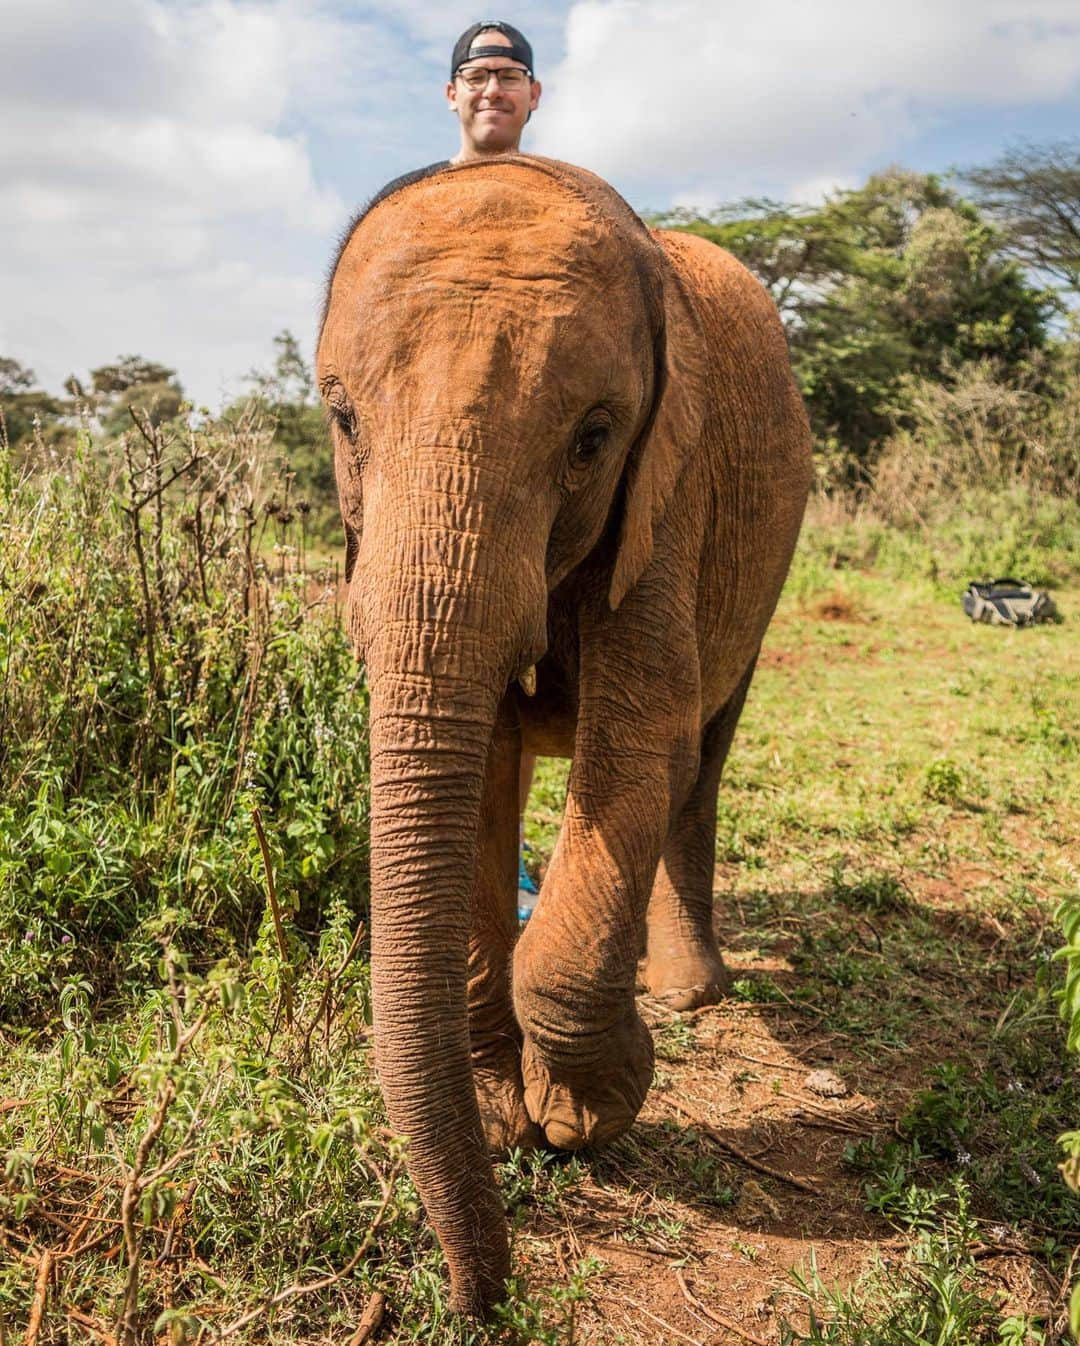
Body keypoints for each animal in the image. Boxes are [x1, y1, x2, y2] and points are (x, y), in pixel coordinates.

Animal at [313, 154, 807, 1313]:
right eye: (342, 418)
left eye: (593, 437)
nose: (483, 1299)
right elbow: (485, 763)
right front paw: (508, 1119)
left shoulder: (669, 497)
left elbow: (642, 748)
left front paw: (590, 1113)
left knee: (704, 758)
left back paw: (688, 991)